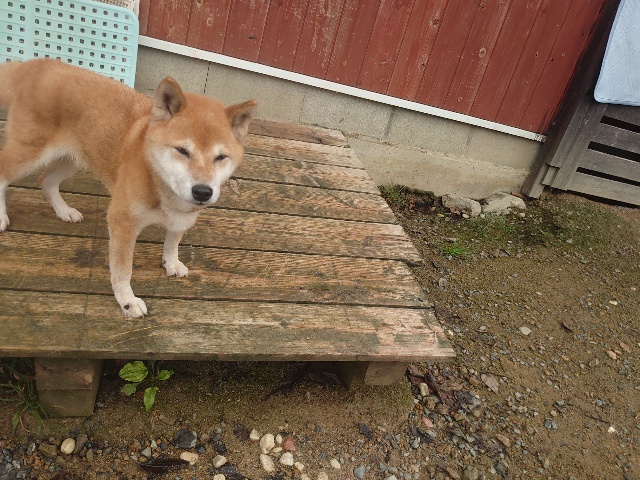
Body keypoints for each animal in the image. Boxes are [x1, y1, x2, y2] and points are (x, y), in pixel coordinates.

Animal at [0, 58, 257, 318]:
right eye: (182, 151)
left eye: (221, 157)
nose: (203, 191)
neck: (158, 181)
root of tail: (36, 64)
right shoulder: (122, 221)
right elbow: (123, 270)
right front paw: (127, 300)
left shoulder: (183, 216)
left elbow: (173, 240)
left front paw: (171, 262)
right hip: (29, 152)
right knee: (4, 174)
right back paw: (2, 216)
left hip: (72, 159)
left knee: (46, 181)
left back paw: (64, 211)